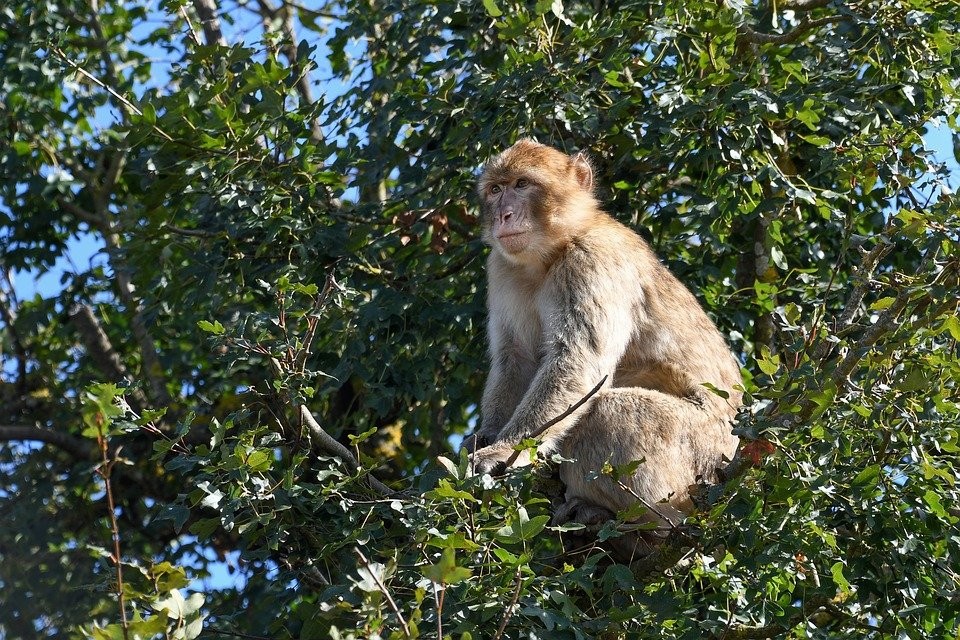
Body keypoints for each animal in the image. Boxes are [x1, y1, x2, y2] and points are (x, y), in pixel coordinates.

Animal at [466, 139, 744, 556]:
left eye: (522, 184)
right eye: (496, 190)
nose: (504, 214)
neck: (551, 254)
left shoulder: (593, 260)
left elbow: (577, 361)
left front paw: (505, 450)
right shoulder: (502, 268)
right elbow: (515, 360)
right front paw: (486, 435)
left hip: (704, 459)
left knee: (609, 410)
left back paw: (648, 527)